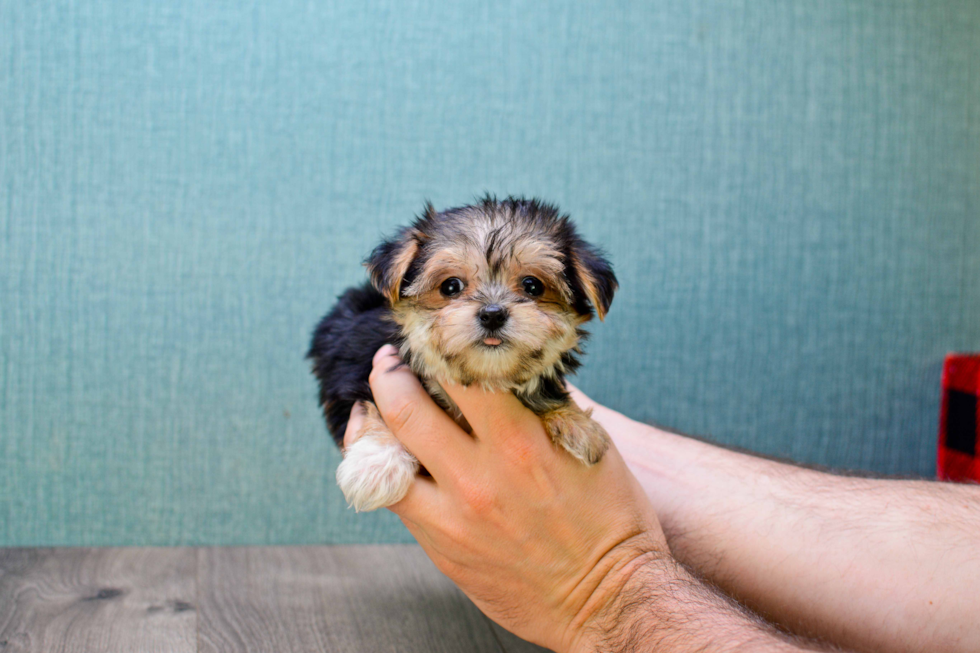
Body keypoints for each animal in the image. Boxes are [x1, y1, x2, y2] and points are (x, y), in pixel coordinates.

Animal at [306, 196, 616, 512]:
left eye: (532, 286)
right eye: (450, 286)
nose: (492, 314)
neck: (484, 378)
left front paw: (576, 423)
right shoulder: (356, 363)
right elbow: (373, 403)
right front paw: (376, 462)